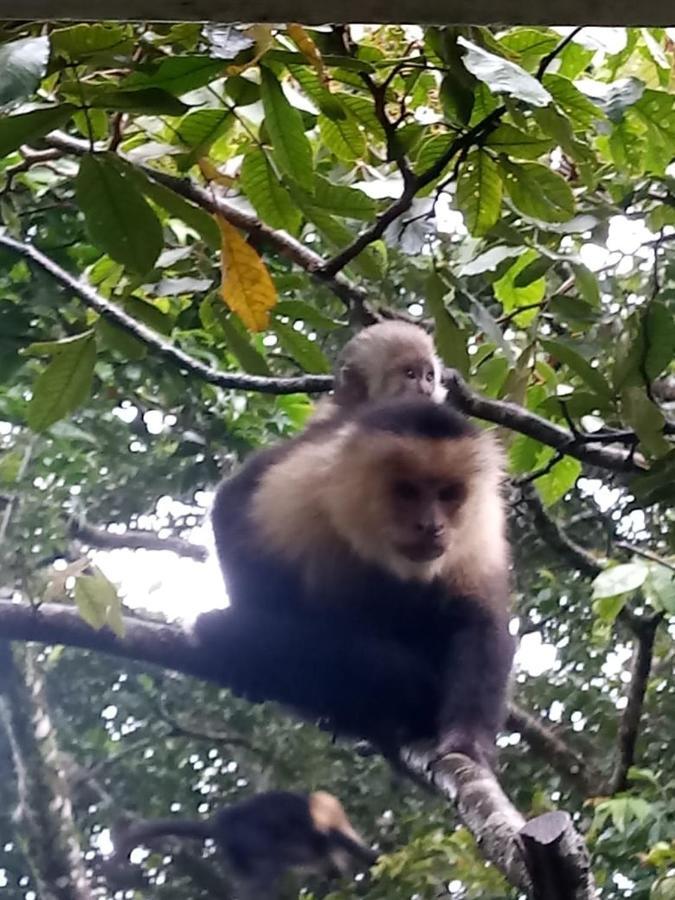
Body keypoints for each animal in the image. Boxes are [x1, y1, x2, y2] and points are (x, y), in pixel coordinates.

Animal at [194, 400, 512, 768]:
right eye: (407, 491)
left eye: (449, 494)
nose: (432, 526)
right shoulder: (301, 481)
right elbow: (233, 504)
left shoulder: (480, 524)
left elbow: (477, 620)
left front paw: (467, 741)